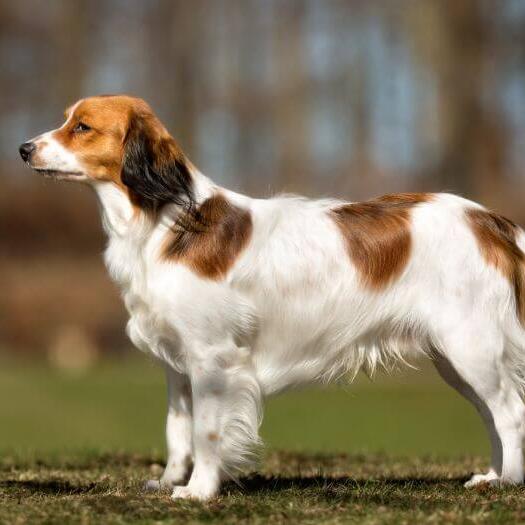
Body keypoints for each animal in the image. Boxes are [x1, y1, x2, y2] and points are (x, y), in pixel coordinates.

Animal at [18, 95, 524, 500]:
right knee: (492, 415)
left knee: (511, 411)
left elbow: (206, 432)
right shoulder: (177, 366)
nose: (23, 149)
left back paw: (508, 482)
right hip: (456, 358)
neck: (162, 220)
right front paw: (169, 482)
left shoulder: (212, 359)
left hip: (470, 347)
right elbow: (178, 431)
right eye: (67, 120)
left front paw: (198, 491)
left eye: (82, 127)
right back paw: (490, 476)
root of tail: (489, 221)